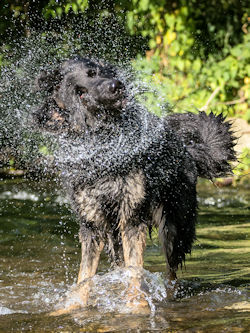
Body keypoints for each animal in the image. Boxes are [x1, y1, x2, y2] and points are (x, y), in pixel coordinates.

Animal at [33, 57, 236, 308]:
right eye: (82, 89)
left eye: (100, 72)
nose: (116, 86)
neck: (102, 151)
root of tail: (187, 149)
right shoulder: (92, 225)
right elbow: (85, 275)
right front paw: (74, 306)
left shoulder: (132, 217)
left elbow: (134, 269)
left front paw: (134, 306)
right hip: (115, 237)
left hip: (173, 228)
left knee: (171, 272)